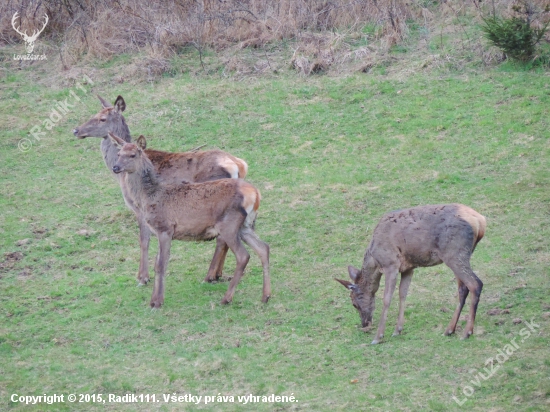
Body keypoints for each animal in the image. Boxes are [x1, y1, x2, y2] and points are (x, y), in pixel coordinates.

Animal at [72, 95, 249, 284]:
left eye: (102, 118)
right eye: (94, 114)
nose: (76, 130)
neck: (122, 178)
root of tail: (238, 165)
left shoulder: (140, 207)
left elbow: (144, 239)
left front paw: (142, 277)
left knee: (222, 238)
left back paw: (210, 275)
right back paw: (217, 273)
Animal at [109, 134, 270, 308]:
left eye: (132, 155)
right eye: (118, 154)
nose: (115, 167)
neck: (149, 197)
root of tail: (255, 194)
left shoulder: (165, 227)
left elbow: (160, 264)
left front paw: (157, 301)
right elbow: (158, 262)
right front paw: (154, 299)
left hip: (229, 224)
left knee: (242, 255)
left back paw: (226, 297)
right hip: (246, 226)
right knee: (263, 248)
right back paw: (265, 296)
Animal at [336, 204, 488, 344]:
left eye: (354, 303)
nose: (365, 324)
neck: (375, 260)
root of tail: (480, 221)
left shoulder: (391, 264)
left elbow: (387, 299)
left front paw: (378, 337)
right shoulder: (408, 268)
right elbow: (403, 294)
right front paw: (397, 330)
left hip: (454, 253)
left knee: (475, 284)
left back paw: (467, 332)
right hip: (460, 255)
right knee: (463, 289)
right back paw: (449, 330)